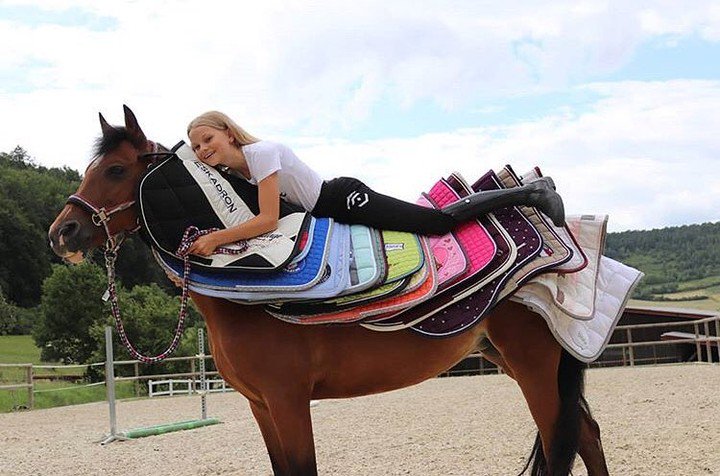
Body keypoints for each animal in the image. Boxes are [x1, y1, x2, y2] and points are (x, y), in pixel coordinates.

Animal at [48, 106, 610, 476]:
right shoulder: (261, 405)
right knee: (585, 435)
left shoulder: (288, 401)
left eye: (116, 169)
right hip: (515, 360)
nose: (62, 233)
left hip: (535, 367)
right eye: (91, 169)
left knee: (567, 440)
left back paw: (545, 193)